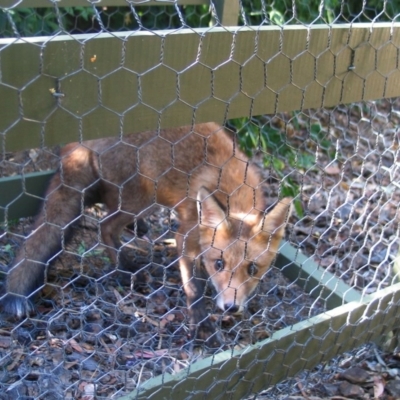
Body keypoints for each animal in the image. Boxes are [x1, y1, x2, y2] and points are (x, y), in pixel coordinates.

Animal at [1, 122, 292, 346]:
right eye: (218, 263)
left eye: (252, 269)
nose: (231, 307)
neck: (235, 193)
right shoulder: (185, 238)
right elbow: (193, 288)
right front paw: (202, 324)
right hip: (142, 197)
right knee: (105, 224)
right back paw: (126, 270)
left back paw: (135, 232)